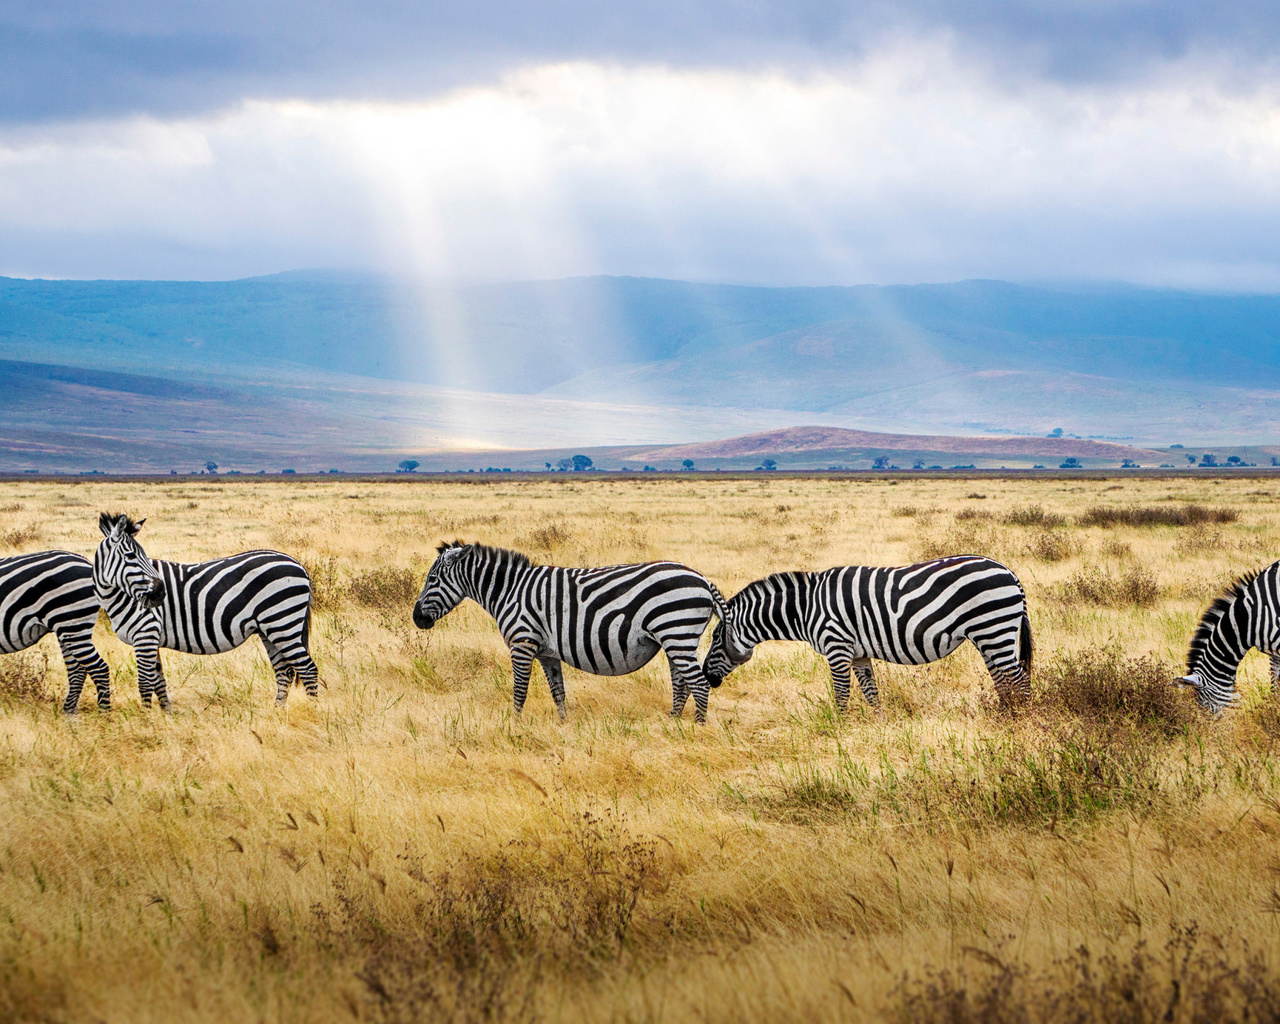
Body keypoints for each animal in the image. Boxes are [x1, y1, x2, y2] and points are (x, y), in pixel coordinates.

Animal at [0, 552, 111, 711]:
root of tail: (87, 562)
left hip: (72, 622)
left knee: (99, 669)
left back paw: (104, 713)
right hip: (68, 628)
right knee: (77, 670)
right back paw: (68, 712)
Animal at [92, 517, 317, 706]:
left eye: (144, 556)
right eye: (131, 556)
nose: (160, 593)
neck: (121, 596)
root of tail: (297, 564)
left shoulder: (145, 634)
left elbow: (146, 685)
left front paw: (146, 720)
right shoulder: (150, 638)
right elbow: (159, 683)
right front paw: (167, 717)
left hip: (283, 622)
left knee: (308, 669)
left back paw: (312, 710)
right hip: (269, 629)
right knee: (284, 671)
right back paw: (278, 712)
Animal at [409, 542, 732, 721]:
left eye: (432, 579)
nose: (416, 618)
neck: (510, 591)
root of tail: (702, 579)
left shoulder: (522, 642)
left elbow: (519, 690)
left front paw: (514, 726)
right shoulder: (547, 652)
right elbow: (558, 692)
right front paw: (562, 726)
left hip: (676, 632)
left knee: (698, 684)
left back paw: (697, 729)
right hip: (675, 638)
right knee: (681, 684)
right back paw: (672, 723)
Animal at [696, 555, 1034, 706]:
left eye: (715, 638)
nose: (708, 678)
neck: (805, 609)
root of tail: (1009, 572)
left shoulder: (837, 647)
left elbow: (842, 694)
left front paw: (840, 730)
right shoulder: (858, 654)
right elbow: (872, 694)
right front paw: (877, 729)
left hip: (993, 629)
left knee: (1019, 680)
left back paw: (1020, 721)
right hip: (988, 636)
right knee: (1004, 681)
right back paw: (1004, 717)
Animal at [1172, 560, 1280, 711]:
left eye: (1203, 704)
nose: (1204, 717)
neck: (1247, 620)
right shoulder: (1273, 651)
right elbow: (1275, 678)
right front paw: (1274, 703)